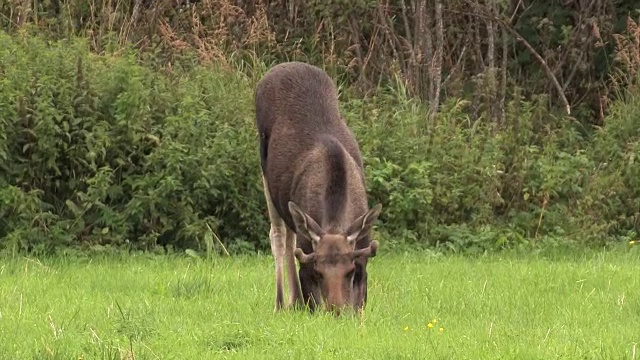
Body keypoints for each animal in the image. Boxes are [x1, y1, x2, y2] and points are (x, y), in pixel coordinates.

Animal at [254, 60, 382, 314]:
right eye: (318, 272)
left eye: (350, 271)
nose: (336, 309)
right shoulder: (307, 257)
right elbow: (312, 300)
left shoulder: (362, 258)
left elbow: (359, 305)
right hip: (264, 170)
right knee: (279, 235)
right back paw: (281, 302)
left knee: (290, 234)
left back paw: (294, 301)